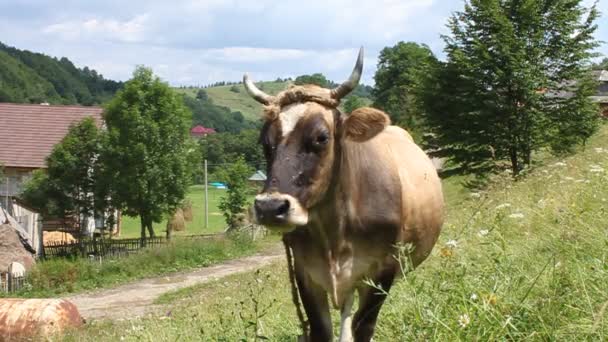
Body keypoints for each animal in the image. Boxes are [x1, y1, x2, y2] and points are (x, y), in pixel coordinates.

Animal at [245, 47, 444, 342]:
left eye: (321, 137)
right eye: (265, 141)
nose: (270, 207)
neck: (334, 233)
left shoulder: (382, 271)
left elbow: (364, 327)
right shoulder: (305, 274)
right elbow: (321, 330)